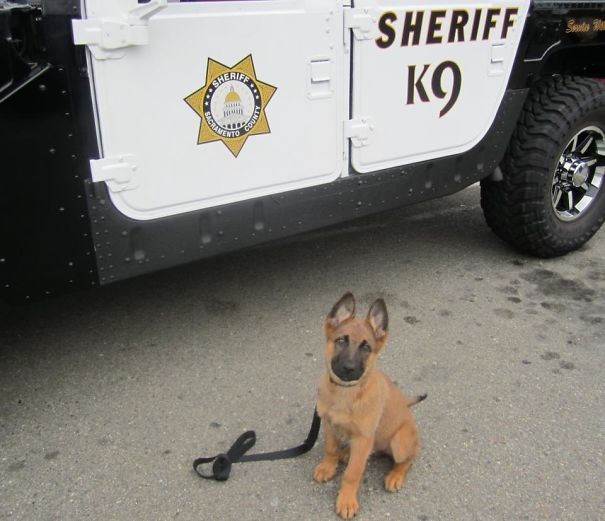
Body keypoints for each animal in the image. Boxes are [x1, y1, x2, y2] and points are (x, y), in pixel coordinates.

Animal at [314, 292, 422, 516]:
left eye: (366, 347)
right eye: (341, 341)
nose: (348, 368)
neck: (346, 392)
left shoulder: (364, 438)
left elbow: (352, 473)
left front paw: (346, 500)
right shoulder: (329, 424)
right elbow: (330, 448)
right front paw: (328, 466)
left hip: (400, 442)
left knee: (408, 459)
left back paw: (395, 475)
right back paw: (346, 453)